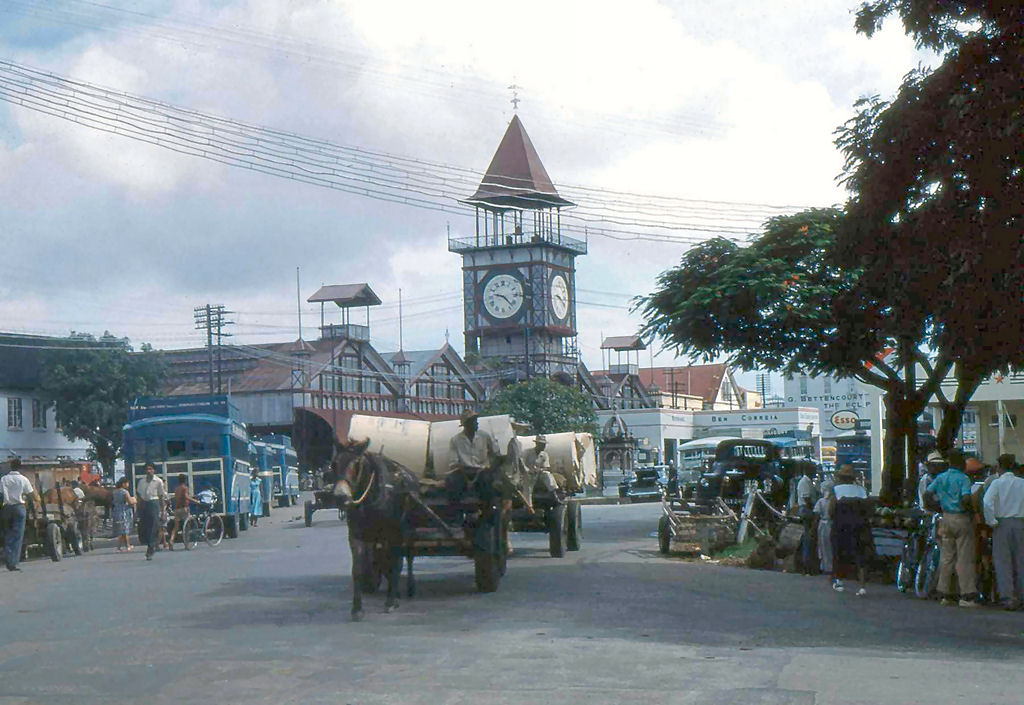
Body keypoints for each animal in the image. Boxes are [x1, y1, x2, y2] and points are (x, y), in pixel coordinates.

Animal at [325, 440, 417, 623]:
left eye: (357, 464)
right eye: (334, 464)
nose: (340, 496)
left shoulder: (391, 533)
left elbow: (395, 563)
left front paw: (390, 601)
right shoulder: (356, 535)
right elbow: (357, 569)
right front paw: (357, 609)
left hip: (405, 530)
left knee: (407, 557)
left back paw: (407, 588)